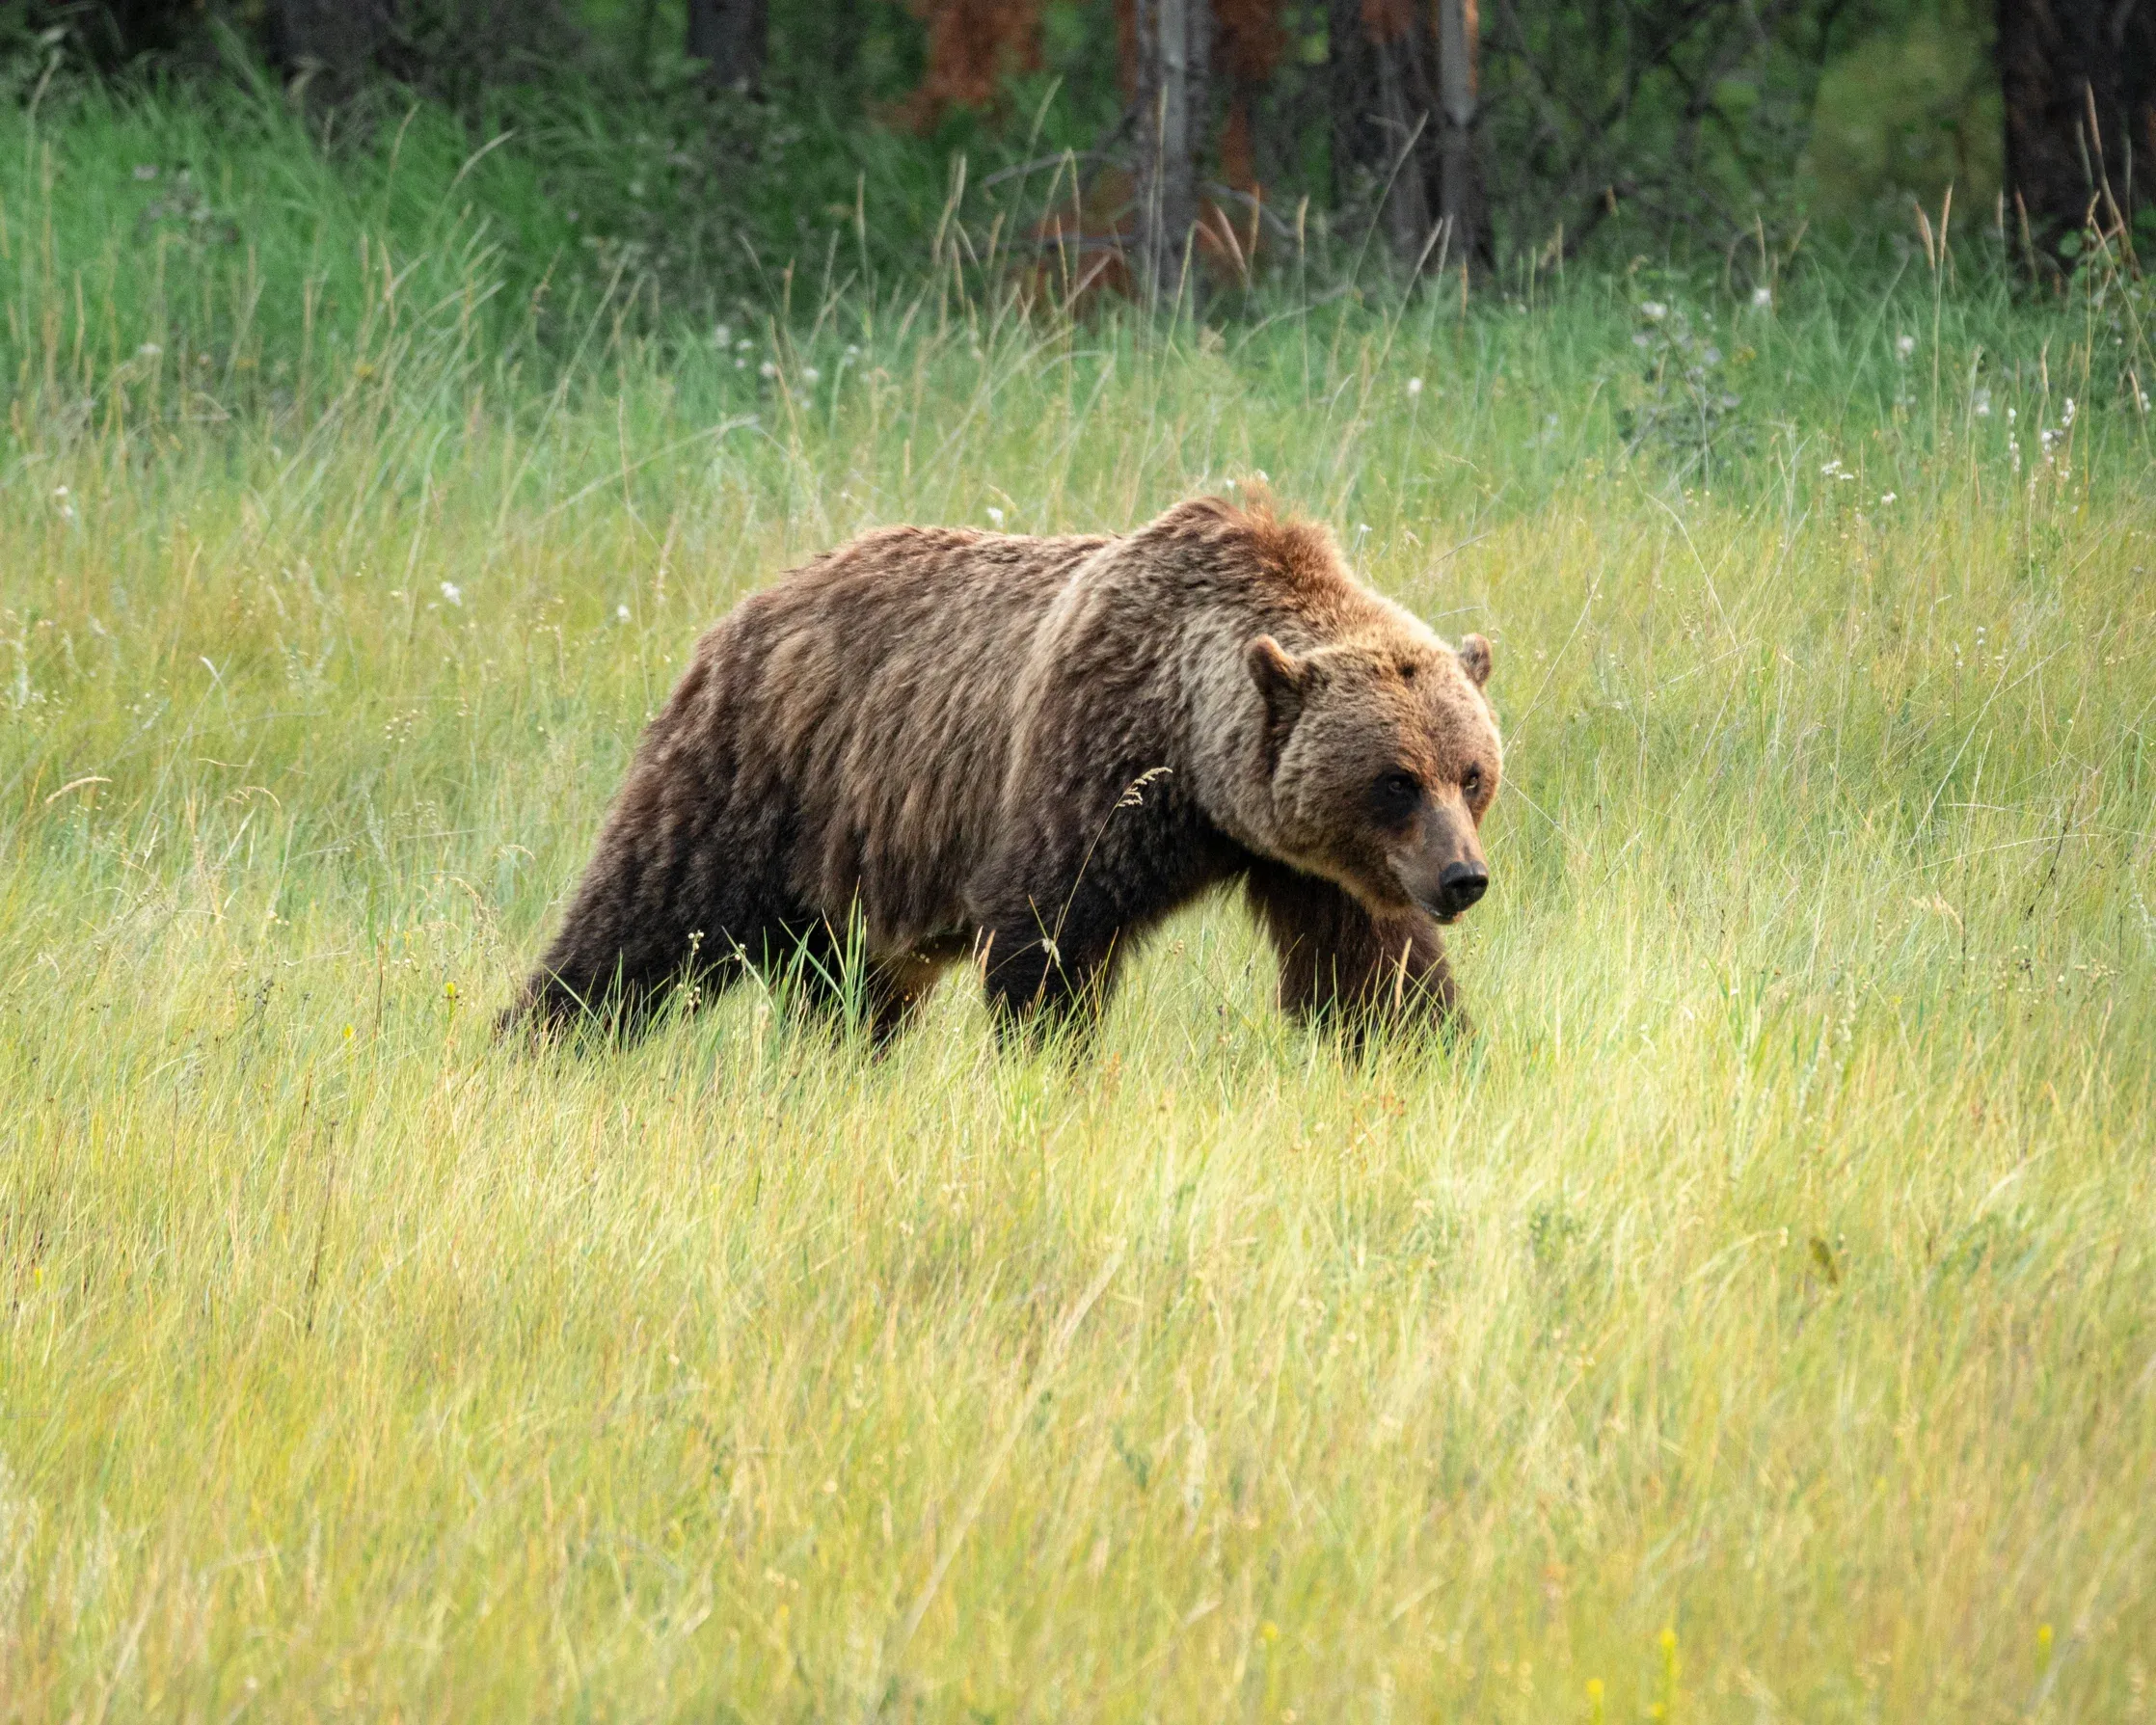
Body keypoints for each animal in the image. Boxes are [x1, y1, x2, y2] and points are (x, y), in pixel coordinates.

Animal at [503, 493, 1502, 1048]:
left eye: (1472, 773)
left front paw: (1430, 1047)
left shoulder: (1308, 860)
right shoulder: (1089, 761)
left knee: (849, 997)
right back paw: (539, 1043)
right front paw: (1053, 1063)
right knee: (644, 924)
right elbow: (1046, 934)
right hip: (760, 775)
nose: (1463, 877)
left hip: (853, 869)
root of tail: (752, 603)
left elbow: (1372, 972)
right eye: (1396, 779)